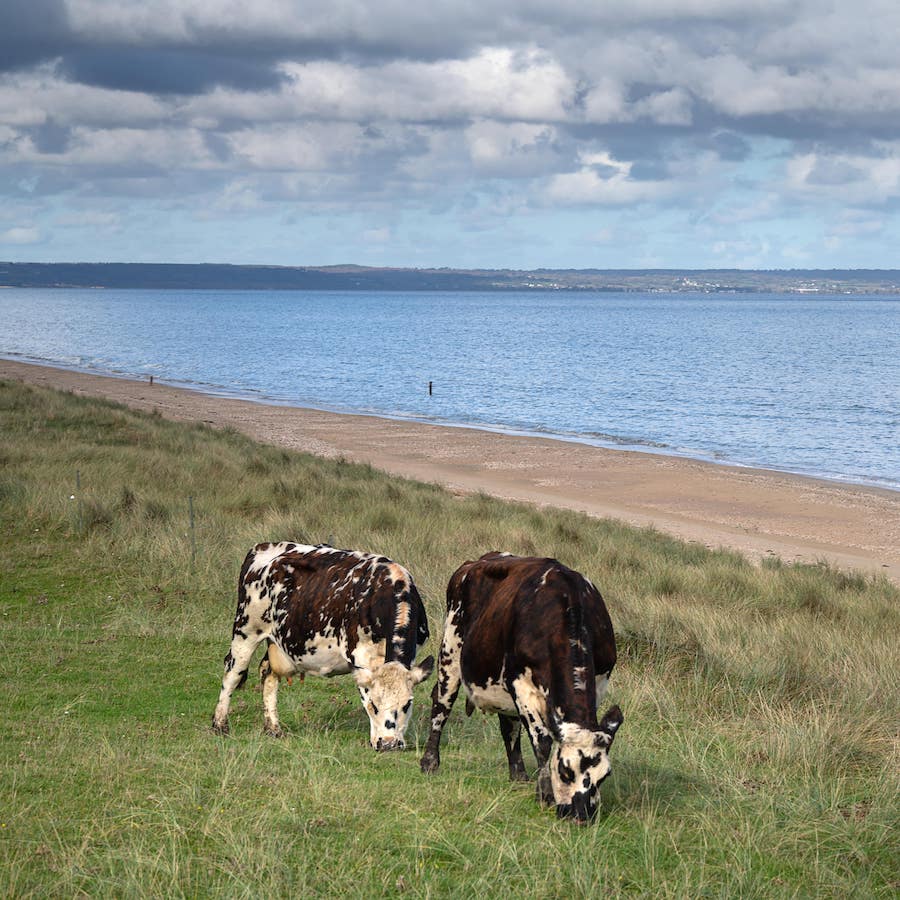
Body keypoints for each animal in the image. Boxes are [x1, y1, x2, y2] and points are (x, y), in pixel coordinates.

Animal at [213, 544, 434, 748]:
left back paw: (273, 728)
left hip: (275, 641)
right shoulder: (360, 657)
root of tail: (261, 547)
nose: (389, 744)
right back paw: (220, 724)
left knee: (268, 674)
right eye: (375, 704)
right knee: (232, 673)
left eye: (407, 704)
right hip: (246, 631)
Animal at [420, 552, 620, 820]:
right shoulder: (521, 684)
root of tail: (476, 561)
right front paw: (545, 794)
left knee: (509, 726)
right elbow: (542, 741)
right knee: (441, 704)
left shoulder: (599, 681)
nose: (580, 816)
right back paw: (430, 761)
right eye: (565, 771)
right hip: (450, 651)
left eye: (605, 776)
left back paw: (518, 773)